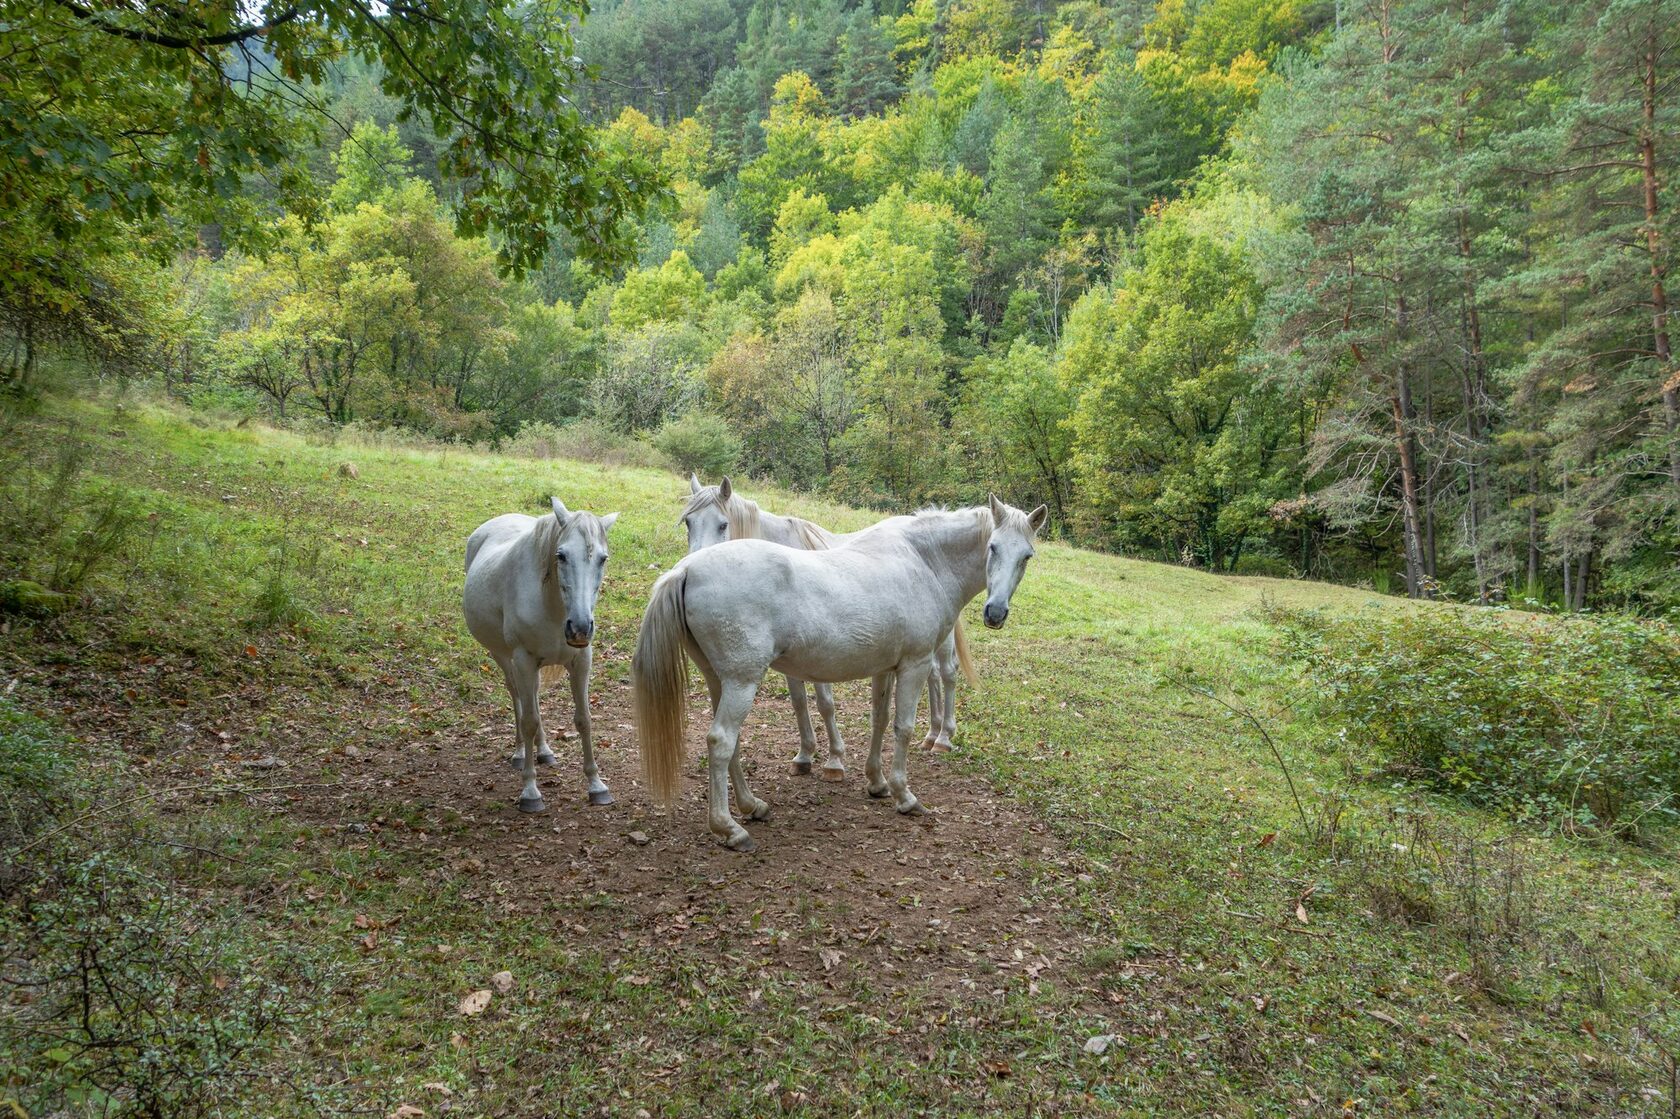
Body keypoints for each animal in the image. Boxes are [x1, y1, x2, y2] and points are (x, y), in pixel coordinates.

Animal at [463, 497, 619, 814]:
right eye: (561, 555)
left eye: (603, 558)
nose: (580, 628)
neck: (554, 608)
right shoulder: (523, 659)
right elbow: (529, 720)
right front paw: (530, 791)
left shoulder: (581, 662)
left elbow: (584, 720)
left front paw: (596, 786)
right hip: (504, 657)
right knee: (518, 698)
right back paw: (520, 753)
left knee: (532, 697)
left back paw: (544, 751)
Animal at [680, 475, 971, 768]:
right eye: (688, 522)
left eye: (723, 524)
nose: (691, 564)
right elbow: (799, 702)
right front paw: (805, 754)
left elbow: (825, 703)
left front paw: (835, 759)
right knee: (933, 674)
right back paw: (931, 733)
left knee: (947, 672)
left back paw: (943, 736)